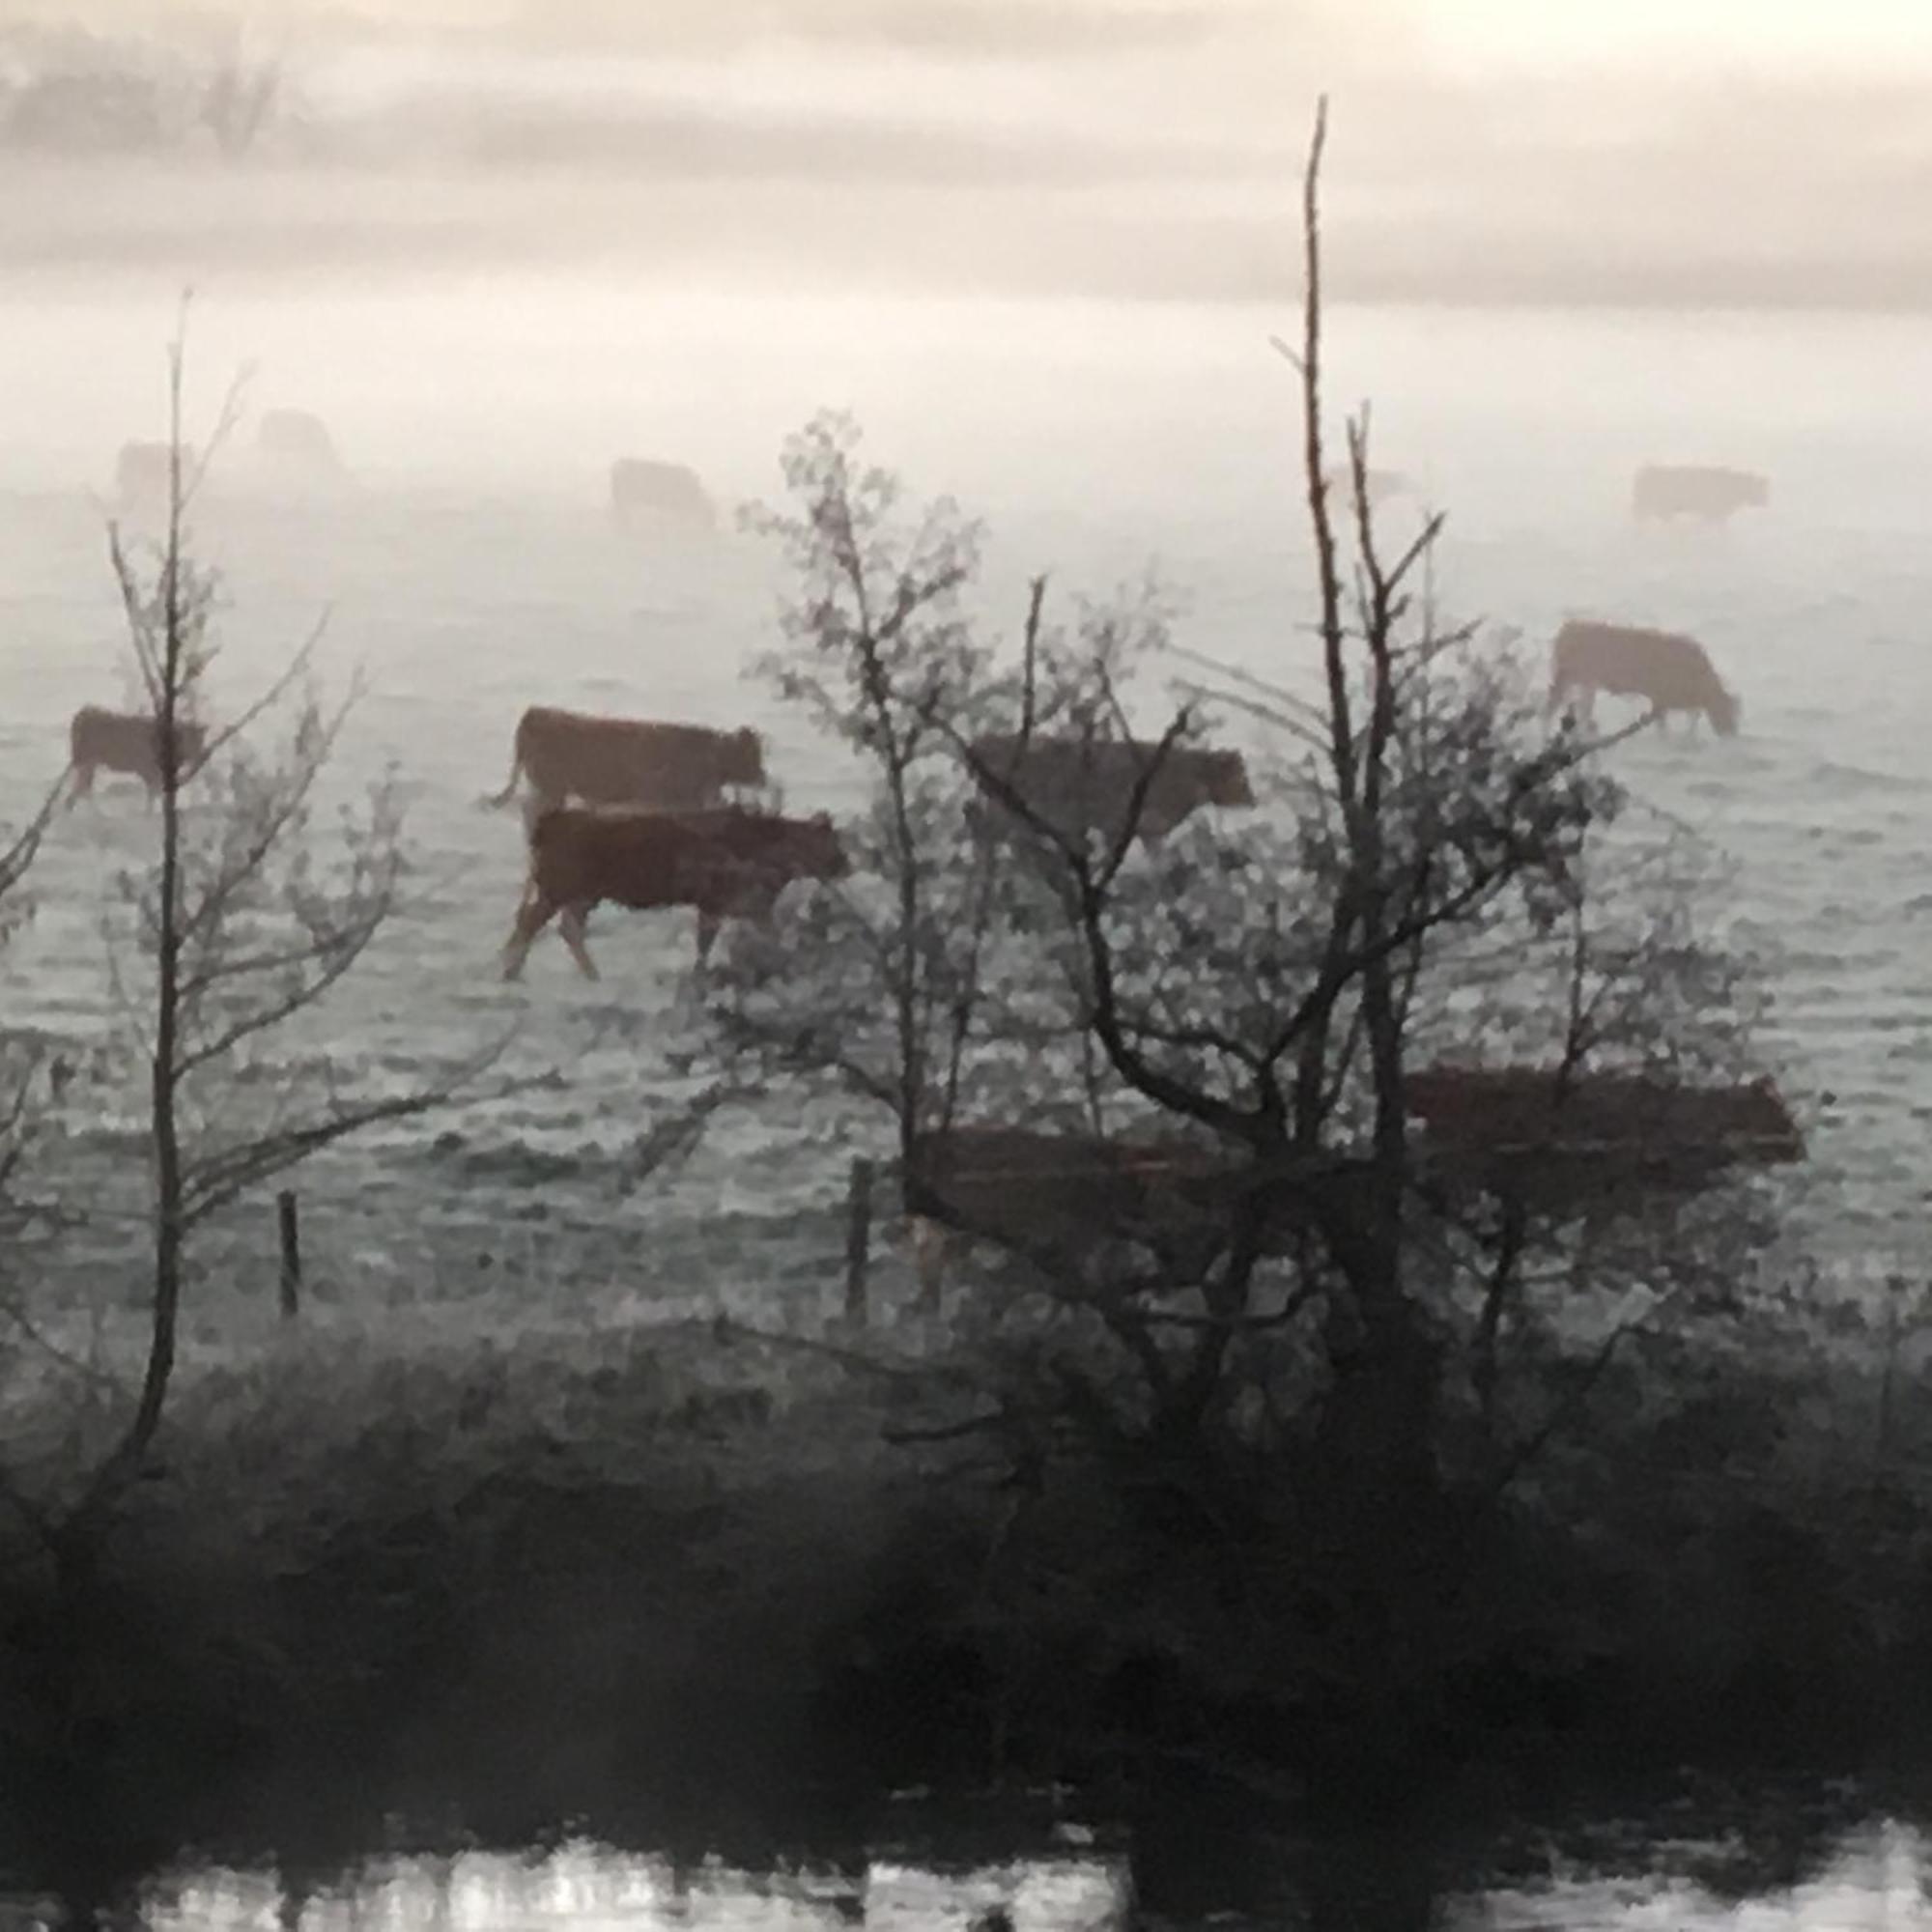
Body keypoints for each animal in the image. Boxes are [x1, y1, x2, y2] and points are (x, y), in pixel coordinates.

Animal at [67, 707, 208, 804]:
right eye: (189, 739)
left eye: (201, 740)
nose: (201, 756)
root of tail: (81, 714)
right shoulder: (148, 768)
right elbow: (153, 793)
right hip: (86, 758)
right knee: (82, 788)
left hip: (87, 761)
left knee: (82, 787)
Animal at [502, 804, 850, 981]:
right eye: (832, 842)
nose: (846, 864)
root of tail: (553, 821)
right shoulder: (723, 901)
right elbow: (707, 945)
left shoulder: (743, 906)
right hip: (558, 888)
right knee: (529, 922)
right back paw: (511, 970)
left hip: (582, 894)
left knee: (567, 928)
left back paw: (591, 975)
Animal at [1546, 618, 1747, 738]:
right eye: (1725, 710)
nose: (1731, 734)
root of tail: (1571, 625)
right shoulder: (1660, 698)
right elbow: (1662, 724)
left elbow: (1691, 721)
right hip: (1579, 679)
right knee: (1572, 708)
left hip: (1575, 681)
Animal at [1631, 464, 1770, 526]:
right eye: (1759, 489)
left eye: (1764, 490)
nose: (1765, 502)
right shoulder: (1714, 513)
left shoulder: (1714, 514)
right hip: (1651, 505)